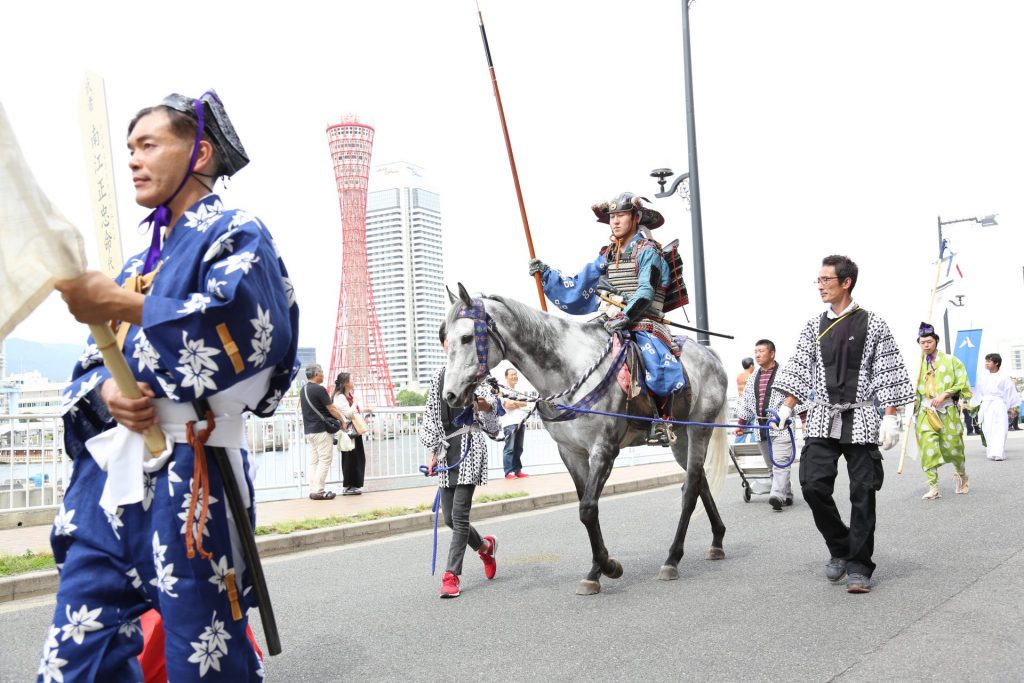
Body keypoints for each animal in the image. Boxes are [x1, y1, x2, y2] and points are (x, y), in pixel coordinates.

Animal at [444, 286, 733, 593]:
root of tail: (710, 354)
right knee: (699, 481)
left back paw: (672, 559)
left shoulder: (604, 448)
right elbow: (586, 507)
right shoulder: (571, 451)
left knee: (689, 491)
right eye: (446, 339)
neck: (567, 370)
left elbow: (587, 508)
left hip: (700, 428)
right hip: (680, 438)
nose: (450, 394)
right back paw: (717, 539)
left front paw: (608, 567)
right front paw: (596, 571)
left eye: (466, 337)